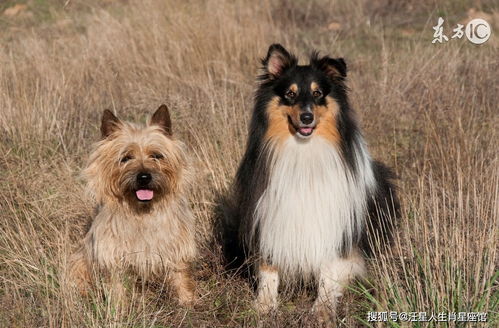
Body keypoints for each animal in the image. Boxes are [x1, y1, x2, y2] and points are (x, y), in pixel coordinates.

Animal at [70, 104, 197, 304]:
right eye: (126, 158)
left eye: (156, 155)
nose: (144, 177)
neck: (142, 211)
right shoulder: (113, 254)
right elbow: (117, 285)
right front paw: (118, 307)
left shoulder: (176, 246)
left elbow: (179, 275)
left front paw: (187, 301)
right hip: (79, 261)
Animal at [225, 43, 400, 316]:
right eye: (290, 93)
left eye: (318, 93)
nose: (306, 118)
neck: (303, 151)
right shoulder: (267, 211)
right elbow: (268, 267)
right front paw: (264, 305)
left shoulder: (335, 221)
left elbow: (329, 269)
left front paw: (322, 308)